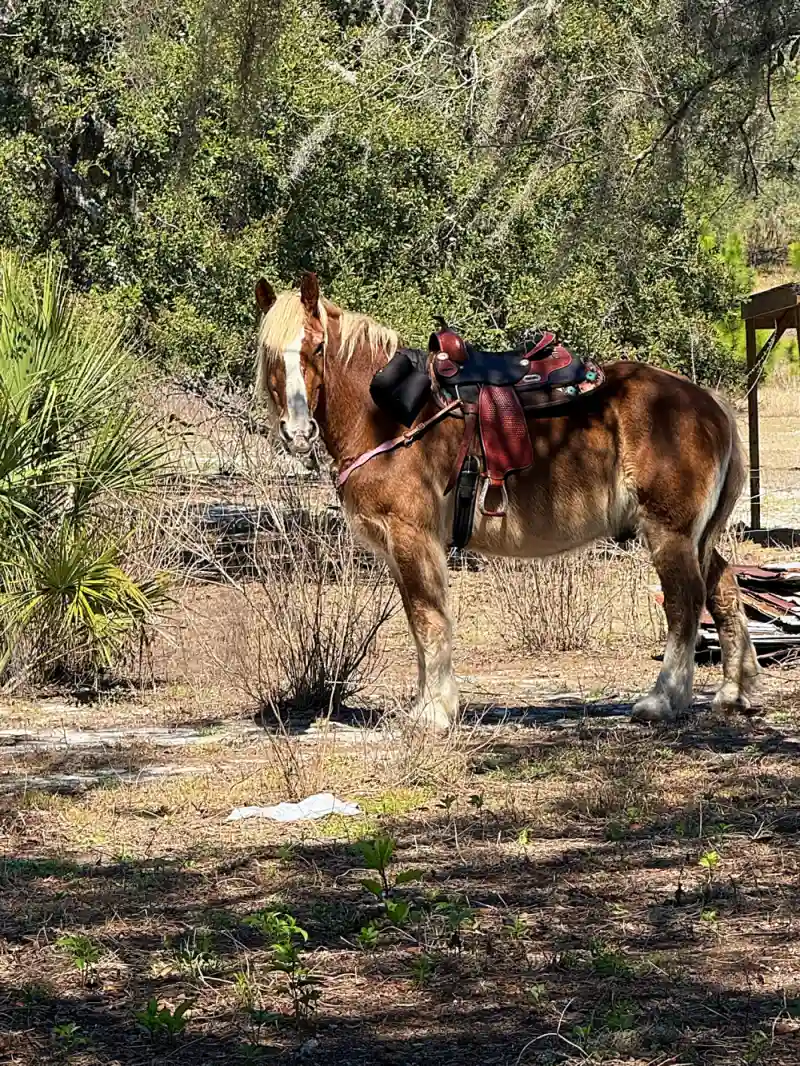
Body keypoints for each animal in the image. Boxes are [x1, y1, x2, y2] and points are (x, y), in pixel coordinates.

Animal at [253, 271, 759, 730]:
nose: (297, 433)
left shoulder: (412, 538)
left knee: (684, 604)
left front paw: (433, 712)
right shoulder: (401, 548)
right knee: (724, 588)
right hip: (695, 536)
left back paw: (663, 700)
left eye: (318, 348)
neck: (392, 417)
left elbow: (428, 620)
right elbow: (420, 623)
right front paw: (430, 705)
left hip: (668, 532)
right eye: (269, 355)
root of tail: (708, 403)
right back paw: (734, 691)